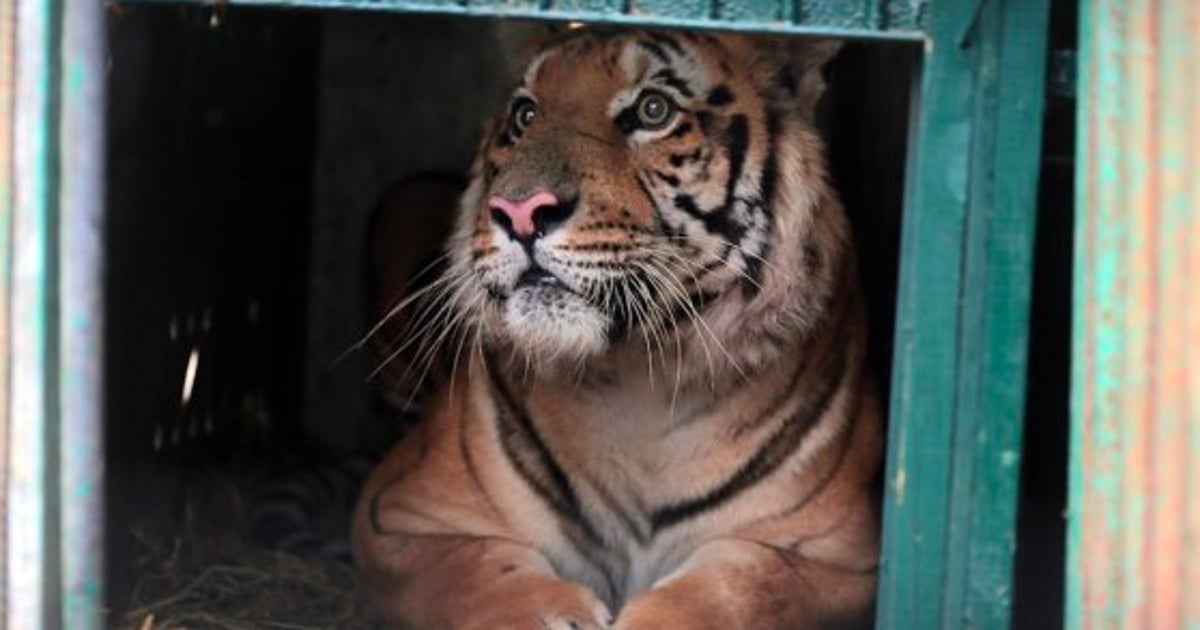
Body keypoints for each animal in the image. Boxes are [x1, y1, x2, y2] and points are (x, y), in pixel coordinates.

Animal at [350, 28, 888, 628]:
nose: (519, 211)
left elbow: (739, 587)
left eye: (653, 110)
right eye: (524, 115)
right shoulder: (397, 516)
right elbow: (476, 575)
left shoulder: (841, 555)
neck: (637, 376)